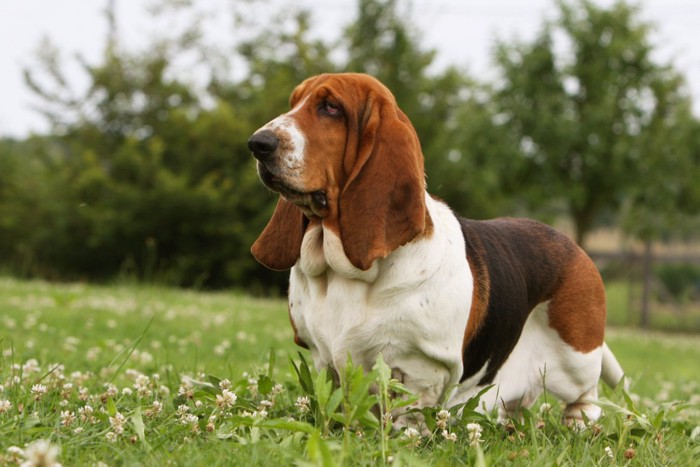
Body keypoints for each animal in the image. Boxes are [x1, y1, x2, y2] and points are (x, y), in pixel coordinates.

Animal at [246, 74, 624, 432]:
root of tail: (574, 246)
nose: (257, 144)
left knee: (587, 398)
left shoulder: (420, 363)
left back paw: (578, 424)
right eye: (294, 103)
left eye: (331, 107)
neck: (345, 271)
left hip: (575, 360)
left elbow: (410, 404)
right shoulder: (323, 358)